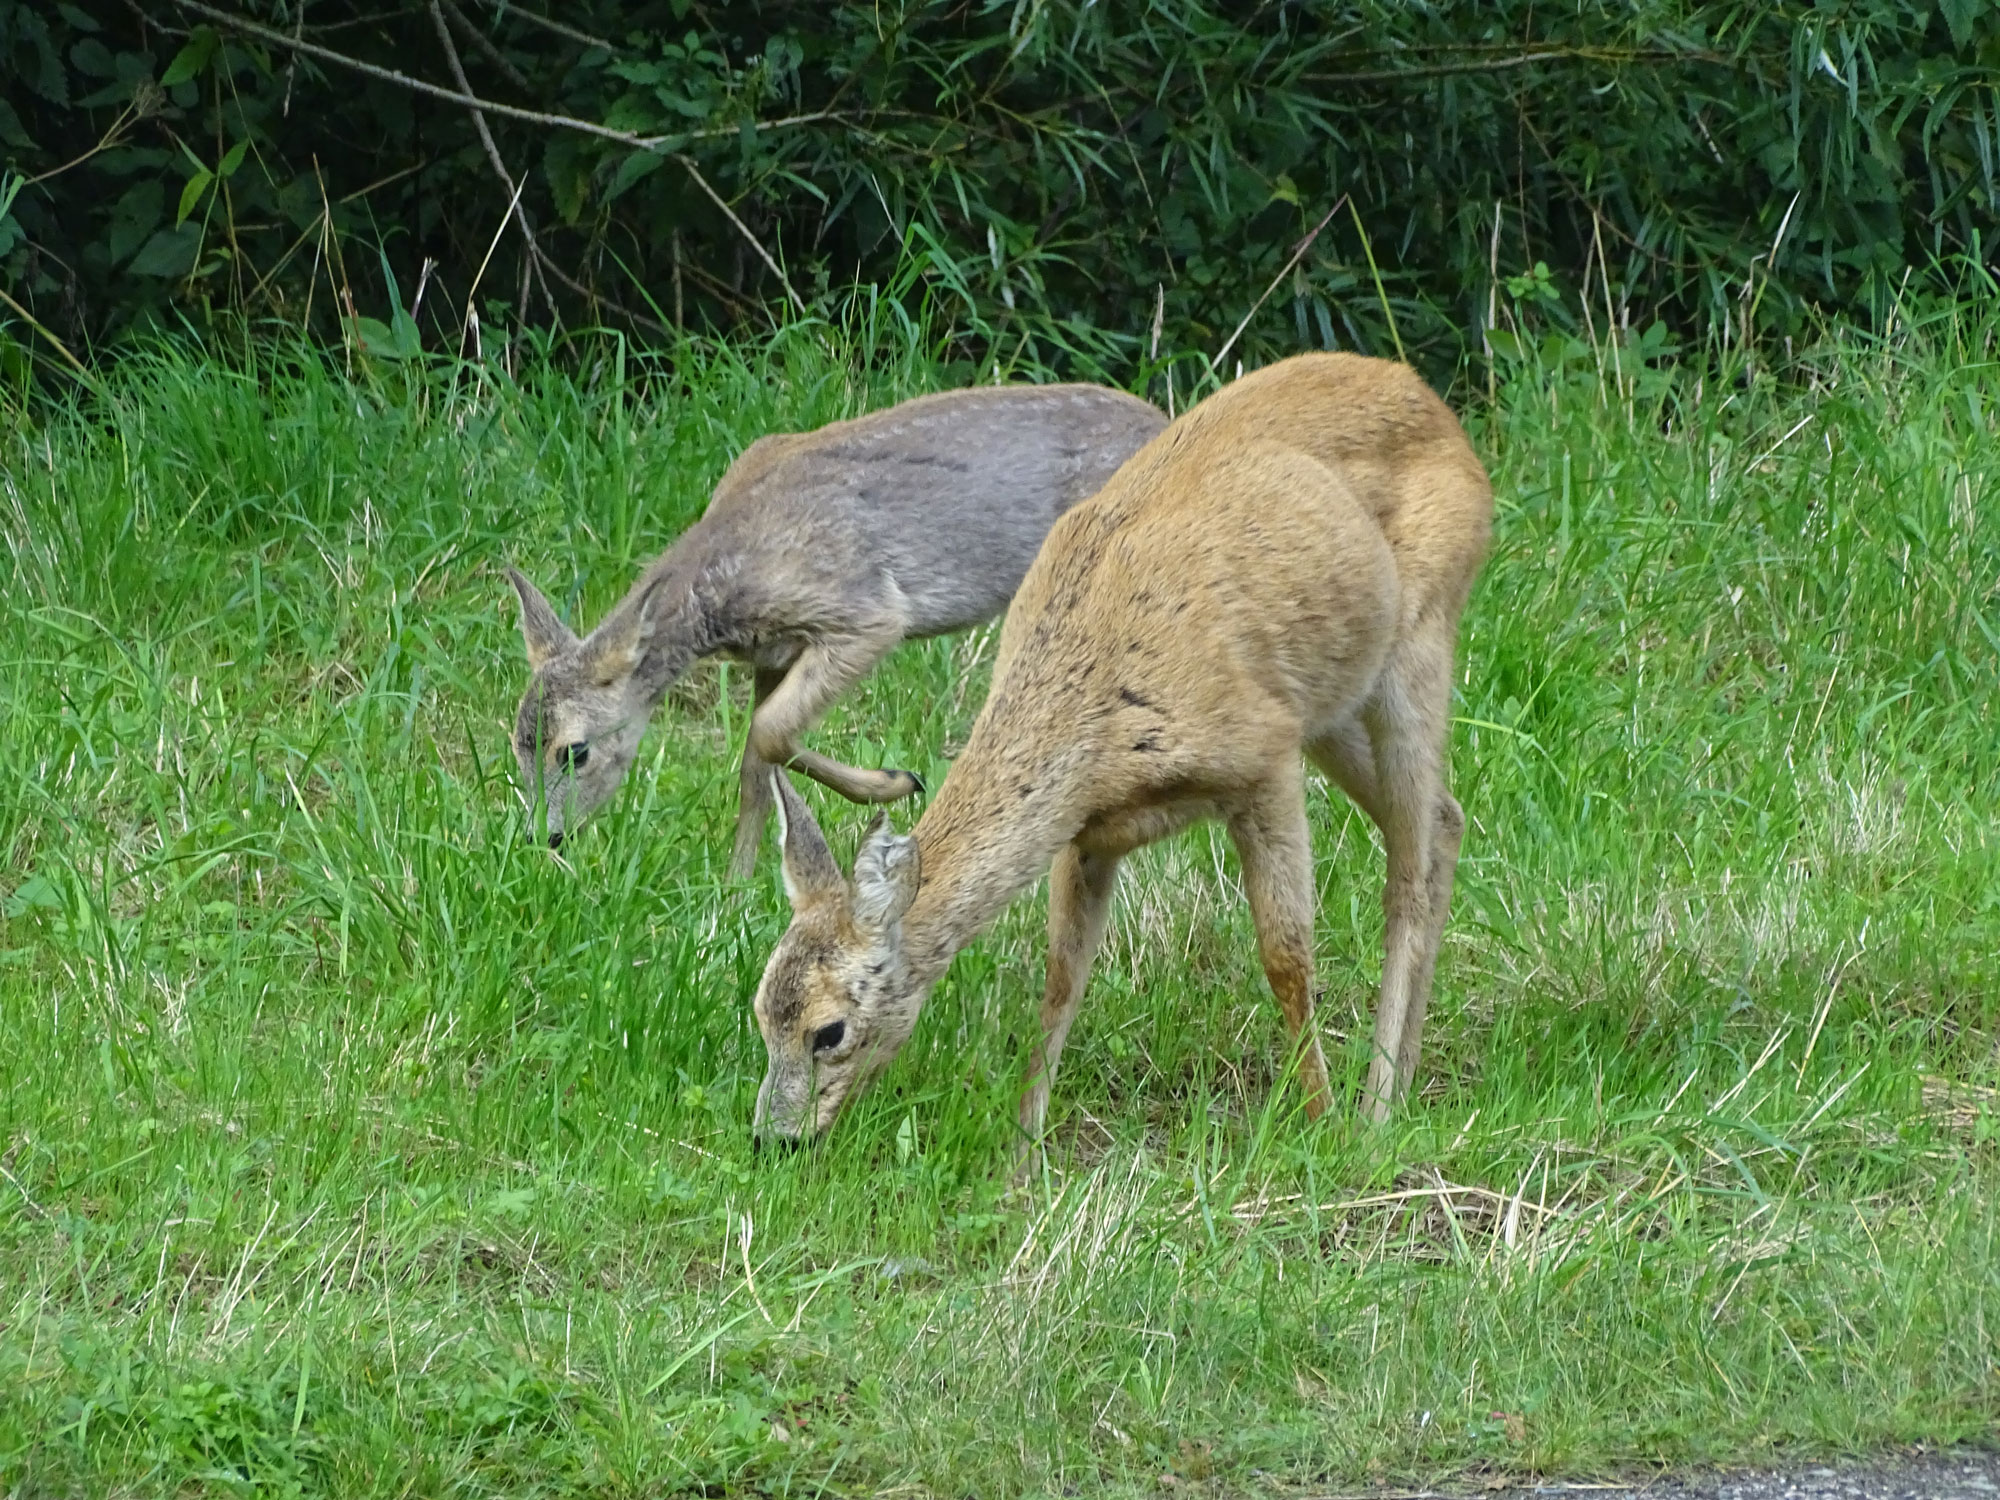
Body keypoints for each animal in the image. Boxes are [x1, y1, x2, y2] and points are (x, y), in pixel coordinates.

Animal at [748, 356, 1488, 1152]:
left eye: (829, 1031)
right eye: (760, 1010)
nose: (772, 1140)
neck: (1094, 710)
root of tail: (1431, 401)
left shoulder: (1262, 758)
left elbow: (1285, 955)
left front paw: (1318, 1127)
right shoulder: (1087, 832)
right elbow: (1061, 977)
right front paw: (1023, 1153)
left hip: (1418, 639)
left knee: (1408, 867)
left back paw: (1377, 1107)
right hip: (1332, 703)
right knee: (1444, 819)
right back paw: (1403, 1081)